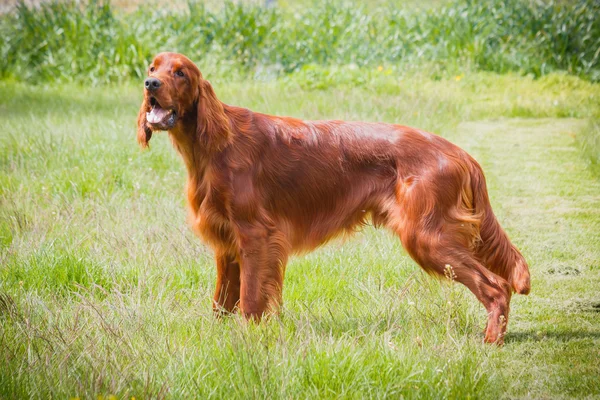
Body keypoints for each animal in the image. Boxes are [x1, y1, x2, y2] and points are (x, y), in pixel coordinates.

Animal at [137, 50, 528, 344]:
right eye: (152, 67)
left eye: (180, 72)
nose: (150, 84)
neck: (214, 144)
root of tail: (461, 154)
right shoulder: (226, 243)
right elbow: (222, 302)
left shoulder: (256, 236)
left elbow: (250, 300)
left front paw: (249, 341)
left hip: (427, 237)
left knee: (496, 286)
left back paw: (491, 340)